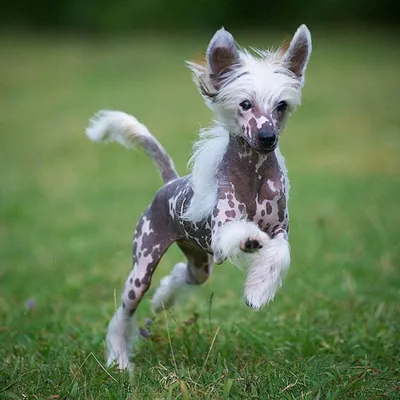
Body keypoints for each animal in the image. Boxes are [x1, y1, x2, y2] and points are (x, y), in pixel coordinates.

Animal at [85, 25, 312, 368]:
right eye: (245, 104)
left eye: (281, 106)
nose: (267, 137)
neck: (255, 173)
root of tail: (171, 182)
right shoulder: (223, 229)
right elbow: (241, 232)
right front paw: (250, 242)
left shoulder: (279, 231)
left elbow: (277, 255)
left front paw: (257, 292)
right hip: (142, 267)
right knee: (124, 314)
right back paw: (120, 358)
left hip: (198, 262)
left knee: (183, 275)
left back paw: (162, 300)